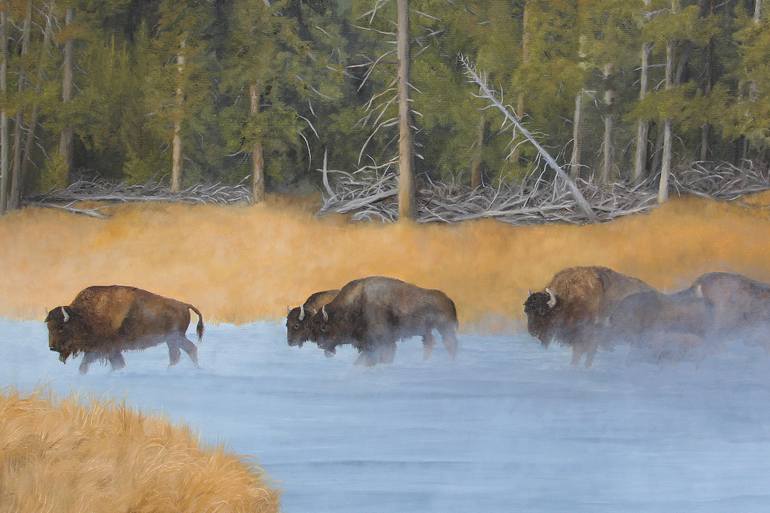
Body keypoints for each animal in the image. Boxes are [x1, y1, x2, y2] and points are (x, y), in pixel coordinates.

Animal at [45, 285, 204, 374]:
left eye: (61, 328)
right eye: (49, 327)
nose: (52, 347)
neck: (84, 316)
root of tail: (184, 305)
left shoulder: (105, 348)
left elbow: (90, 364)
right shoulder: (105, 350)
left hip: (174, 339)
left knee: (182, 352)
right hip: (174, 340)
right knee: (186, 351)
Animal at [308, 276, 459, 366]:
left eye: (324, 327)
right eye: (314, 327)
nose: (320, 345)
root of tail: (448, 299)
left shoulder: (382, 341)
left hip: (445, 328)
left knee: (450, 344)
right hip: (426, 332)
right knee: (430, 344)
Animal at [524, 266, 654, 367]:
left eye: (542, 311)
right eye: (526, 311)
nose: (532, 331)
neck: (566, 301)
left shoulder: (586, 337)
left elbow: (581, 354)